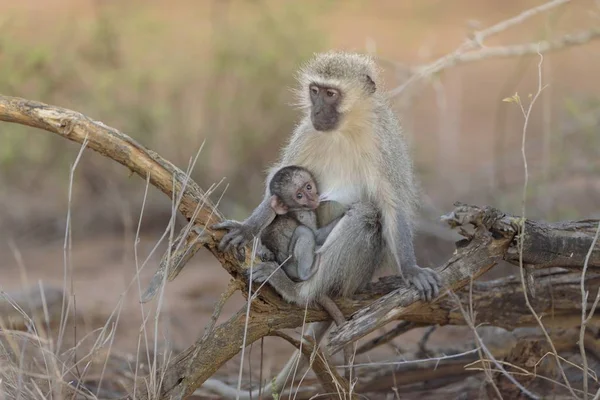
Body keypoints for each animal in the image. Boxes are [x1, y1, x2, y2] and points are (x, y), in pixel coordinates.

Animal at [209, 51, 442, 398]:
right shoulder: (307, 132)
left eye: (331, 94)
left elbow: (392, 204)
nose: (316, 110)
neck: (346, 128)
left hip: (356, 276)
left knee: (365, 216)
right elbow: (276, 191)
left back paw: (297, 291)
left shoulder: (383, 139)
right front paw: (248, 229)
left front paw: (411, 269)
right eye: (315, 91)